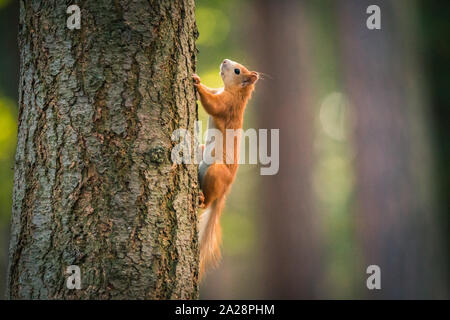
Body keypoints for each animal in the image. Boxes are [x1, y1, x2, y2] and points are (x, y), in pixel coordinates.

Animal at [192, 58, 258, 278]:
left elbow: (212, 105)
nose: (224, 61)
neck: (235, 93)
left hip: (215, 172)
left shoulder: (226, 106)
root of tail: (225, 190)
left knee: (207, 202)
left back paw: (202, 198)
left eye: (237, 71)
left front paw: (197, 82)